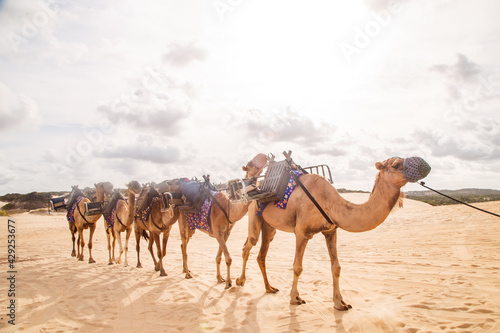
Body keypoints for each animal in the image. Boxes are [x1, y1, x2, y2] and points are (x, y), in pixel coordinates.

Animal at [178, 153, 268, 288]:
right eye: (250, 163)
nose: (264, 155)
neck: (228, 208)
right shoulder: (217, 232)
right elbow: (228, 258)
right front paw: (228, 283)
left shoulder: (226, 233)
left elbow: (219, 257)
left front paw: (220, 278)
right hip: (183, 222)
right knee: (184, 245)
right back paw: (187, 273)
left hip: (191, 228)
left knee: (183, 244)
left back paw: (185, 269)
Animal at [235, 155, 430, 308]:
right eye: (396, 164)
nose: (425, 166)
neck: (330, 201)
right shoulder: (301, 232)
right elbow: (297, 267)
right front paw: (295, 298)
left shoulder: (331, 230)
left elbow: (336, 267)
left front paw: (340, 303)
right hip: (254, 213)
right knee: (248, 245)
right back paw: (240, 281)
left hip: (270, 227)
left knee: (262, 253)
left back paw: (269, 288)